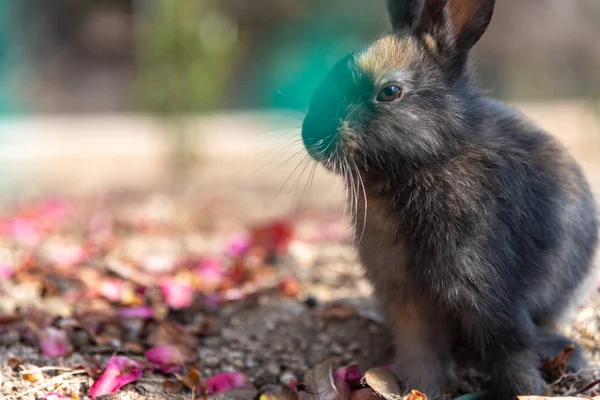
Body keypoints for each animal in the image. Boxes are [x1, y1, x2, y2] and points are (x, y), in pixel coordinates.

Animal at [302, 0, 596, 400]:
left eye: (389, 91)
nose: (311, 137)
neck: (432, 159)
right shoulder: (409, 304)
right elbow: (421, 351)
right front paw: (417, 388)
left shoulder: (492, 296)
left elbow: (512, 351)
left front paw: (524, 390)